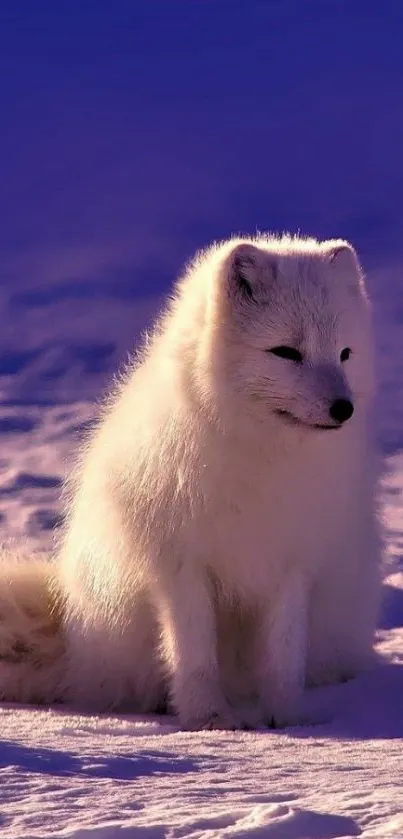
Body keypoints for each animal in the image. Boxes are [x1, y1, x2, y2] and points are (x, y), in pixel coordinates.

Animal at [0, 235, 382, 728]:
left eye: (345, 354)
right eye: (286, 352)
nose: (343, 408)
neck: (260, 456)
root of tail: (74, 648)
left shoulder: (292, 564)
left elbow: (283, 656)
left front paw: (286, 719)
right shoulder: (181, 565)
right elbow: (194, 653)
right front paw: (209, 720)